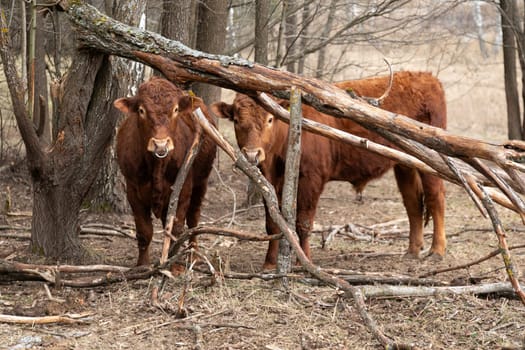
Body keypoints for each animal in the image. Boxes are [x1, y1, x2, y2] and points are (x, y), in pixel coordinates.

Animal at [115, 77, 217, 266]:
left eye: (176, 109)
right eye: (141, 110)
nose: (160, 144)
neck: (157, 165)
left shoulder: (183, 188)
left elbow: (176, 228)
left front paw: (175, 266)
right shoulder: (132, 190)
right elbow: (144, 231)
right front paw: (142, 265)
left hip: (202, 182)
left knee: (193, 219)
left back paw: (193, 254)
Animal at [212, 70, 446, 268]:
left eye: (270, 119)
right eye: (236, 120)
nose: (252, 154)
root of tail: (427, 77)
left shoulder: (311, 179)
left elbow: (304, 223)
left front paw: (304, 261)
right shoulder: (269, 183)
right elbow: (273, 223)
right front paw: (269, 263)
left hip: (430, 164)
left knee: (436, 198)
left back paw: (437, 250)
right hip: (404, 165)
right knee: (412, 202)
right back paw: (412, 250)